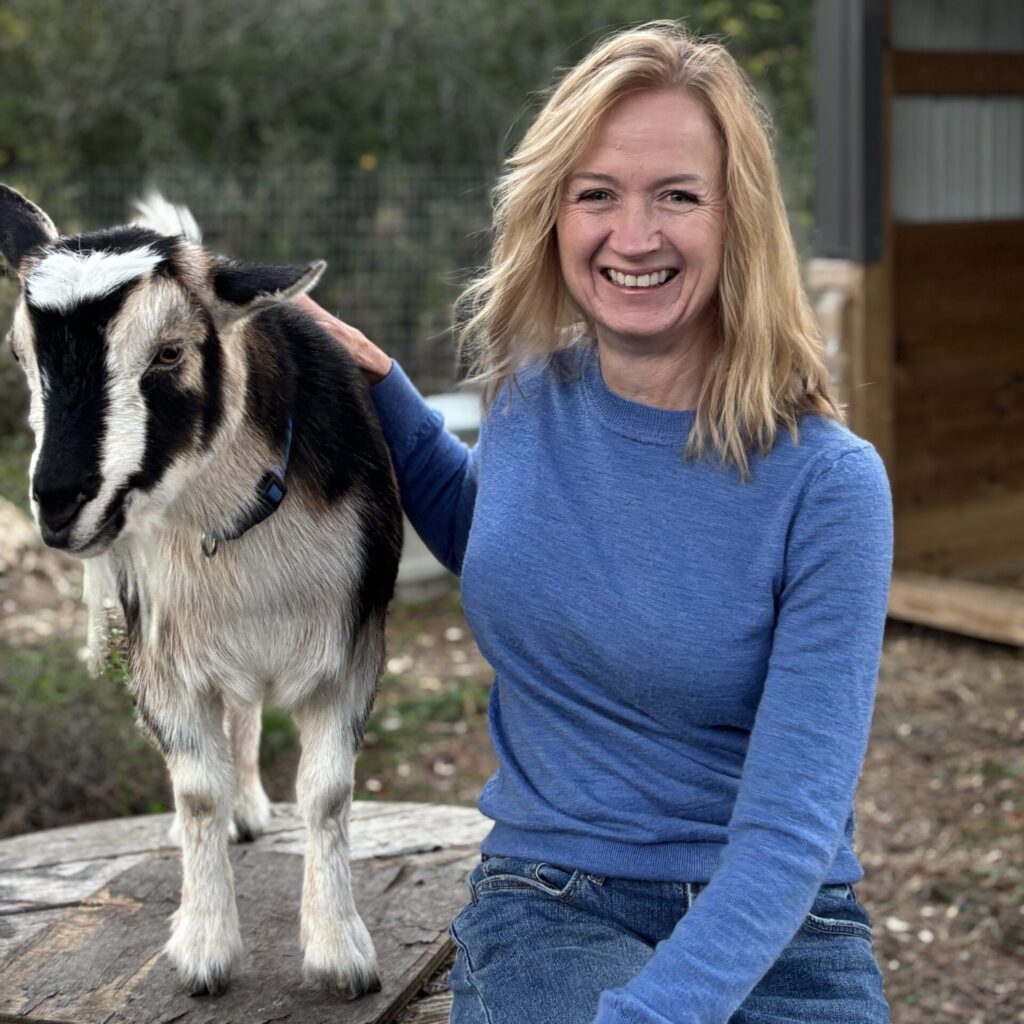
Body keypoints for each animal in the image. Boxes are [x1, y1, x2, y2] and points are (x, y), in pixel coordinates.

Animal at [0, 185, 402, 998]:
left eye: (169, 352)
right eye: (22, 357)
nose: (58, 505)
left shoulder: (353, 637)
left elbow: (327, 793)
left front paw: (340, 954)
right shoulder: (161, 649)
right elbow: (197, 793)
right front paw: (205, 950)